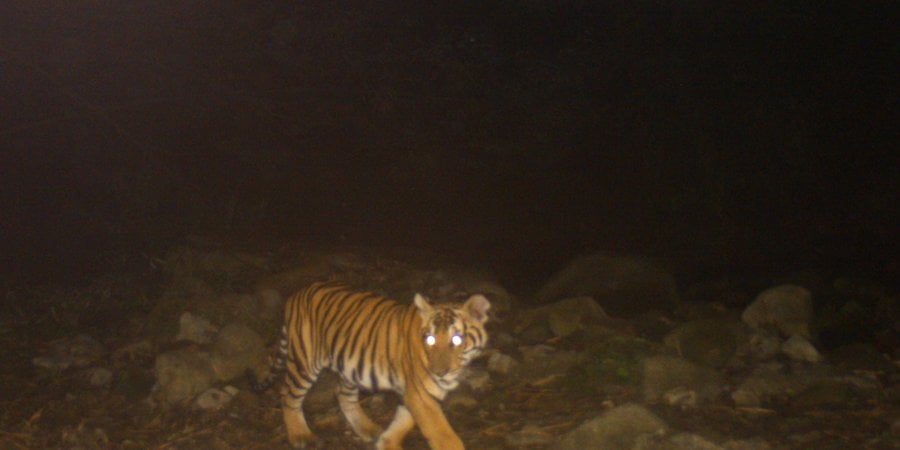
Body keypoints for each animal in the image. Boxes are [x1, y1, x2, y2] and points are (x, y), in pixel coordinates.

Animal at [251, 280, 491, 450]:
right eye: (430, 339)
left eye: (457, 339)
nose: (439, 372)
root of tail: (297, 294)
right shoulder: (421, 394)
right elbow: (444, 437)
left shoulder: (417, 394)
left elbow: (403, 420)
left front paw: (386, 443)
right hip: (305, 361)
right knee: (288, 395)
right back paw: (300, 436)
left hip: (348, 366)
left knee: (343, 396)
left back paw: (368, 429)